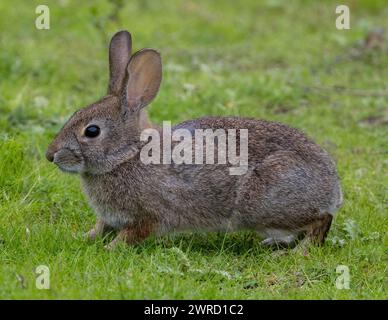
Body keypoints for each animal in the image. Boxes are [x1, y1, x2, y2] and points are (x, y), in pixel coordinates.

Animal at [46, 30, 342, 250]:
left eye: (91, 131)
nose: (50, 155)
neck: (128, 154)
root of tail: (333, 188)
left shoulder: (149, 215)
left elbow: (130, 235)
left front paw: (109, 249)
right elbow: (100, 227)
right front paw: (83, 238)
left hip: (265, 204)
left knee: (321, 221)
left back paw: (299, 251)